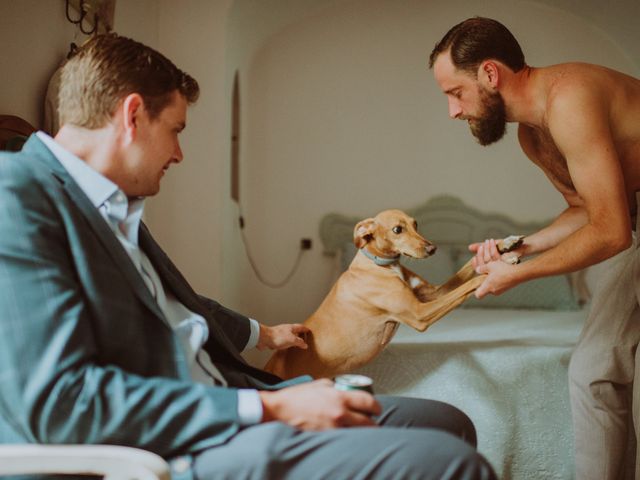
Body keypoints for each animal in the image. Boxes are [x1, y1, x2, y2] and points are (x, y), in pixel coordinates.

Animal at [264, 209, 520, 378]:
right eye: (397, 229)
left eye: (416, 224)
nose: (432, 248)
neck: (380, 264)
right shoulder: (419, 314)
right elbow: (470, 284)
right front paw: (495, 272)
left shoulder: (432, 295)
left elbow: (468, 267)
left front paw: (504, 245)